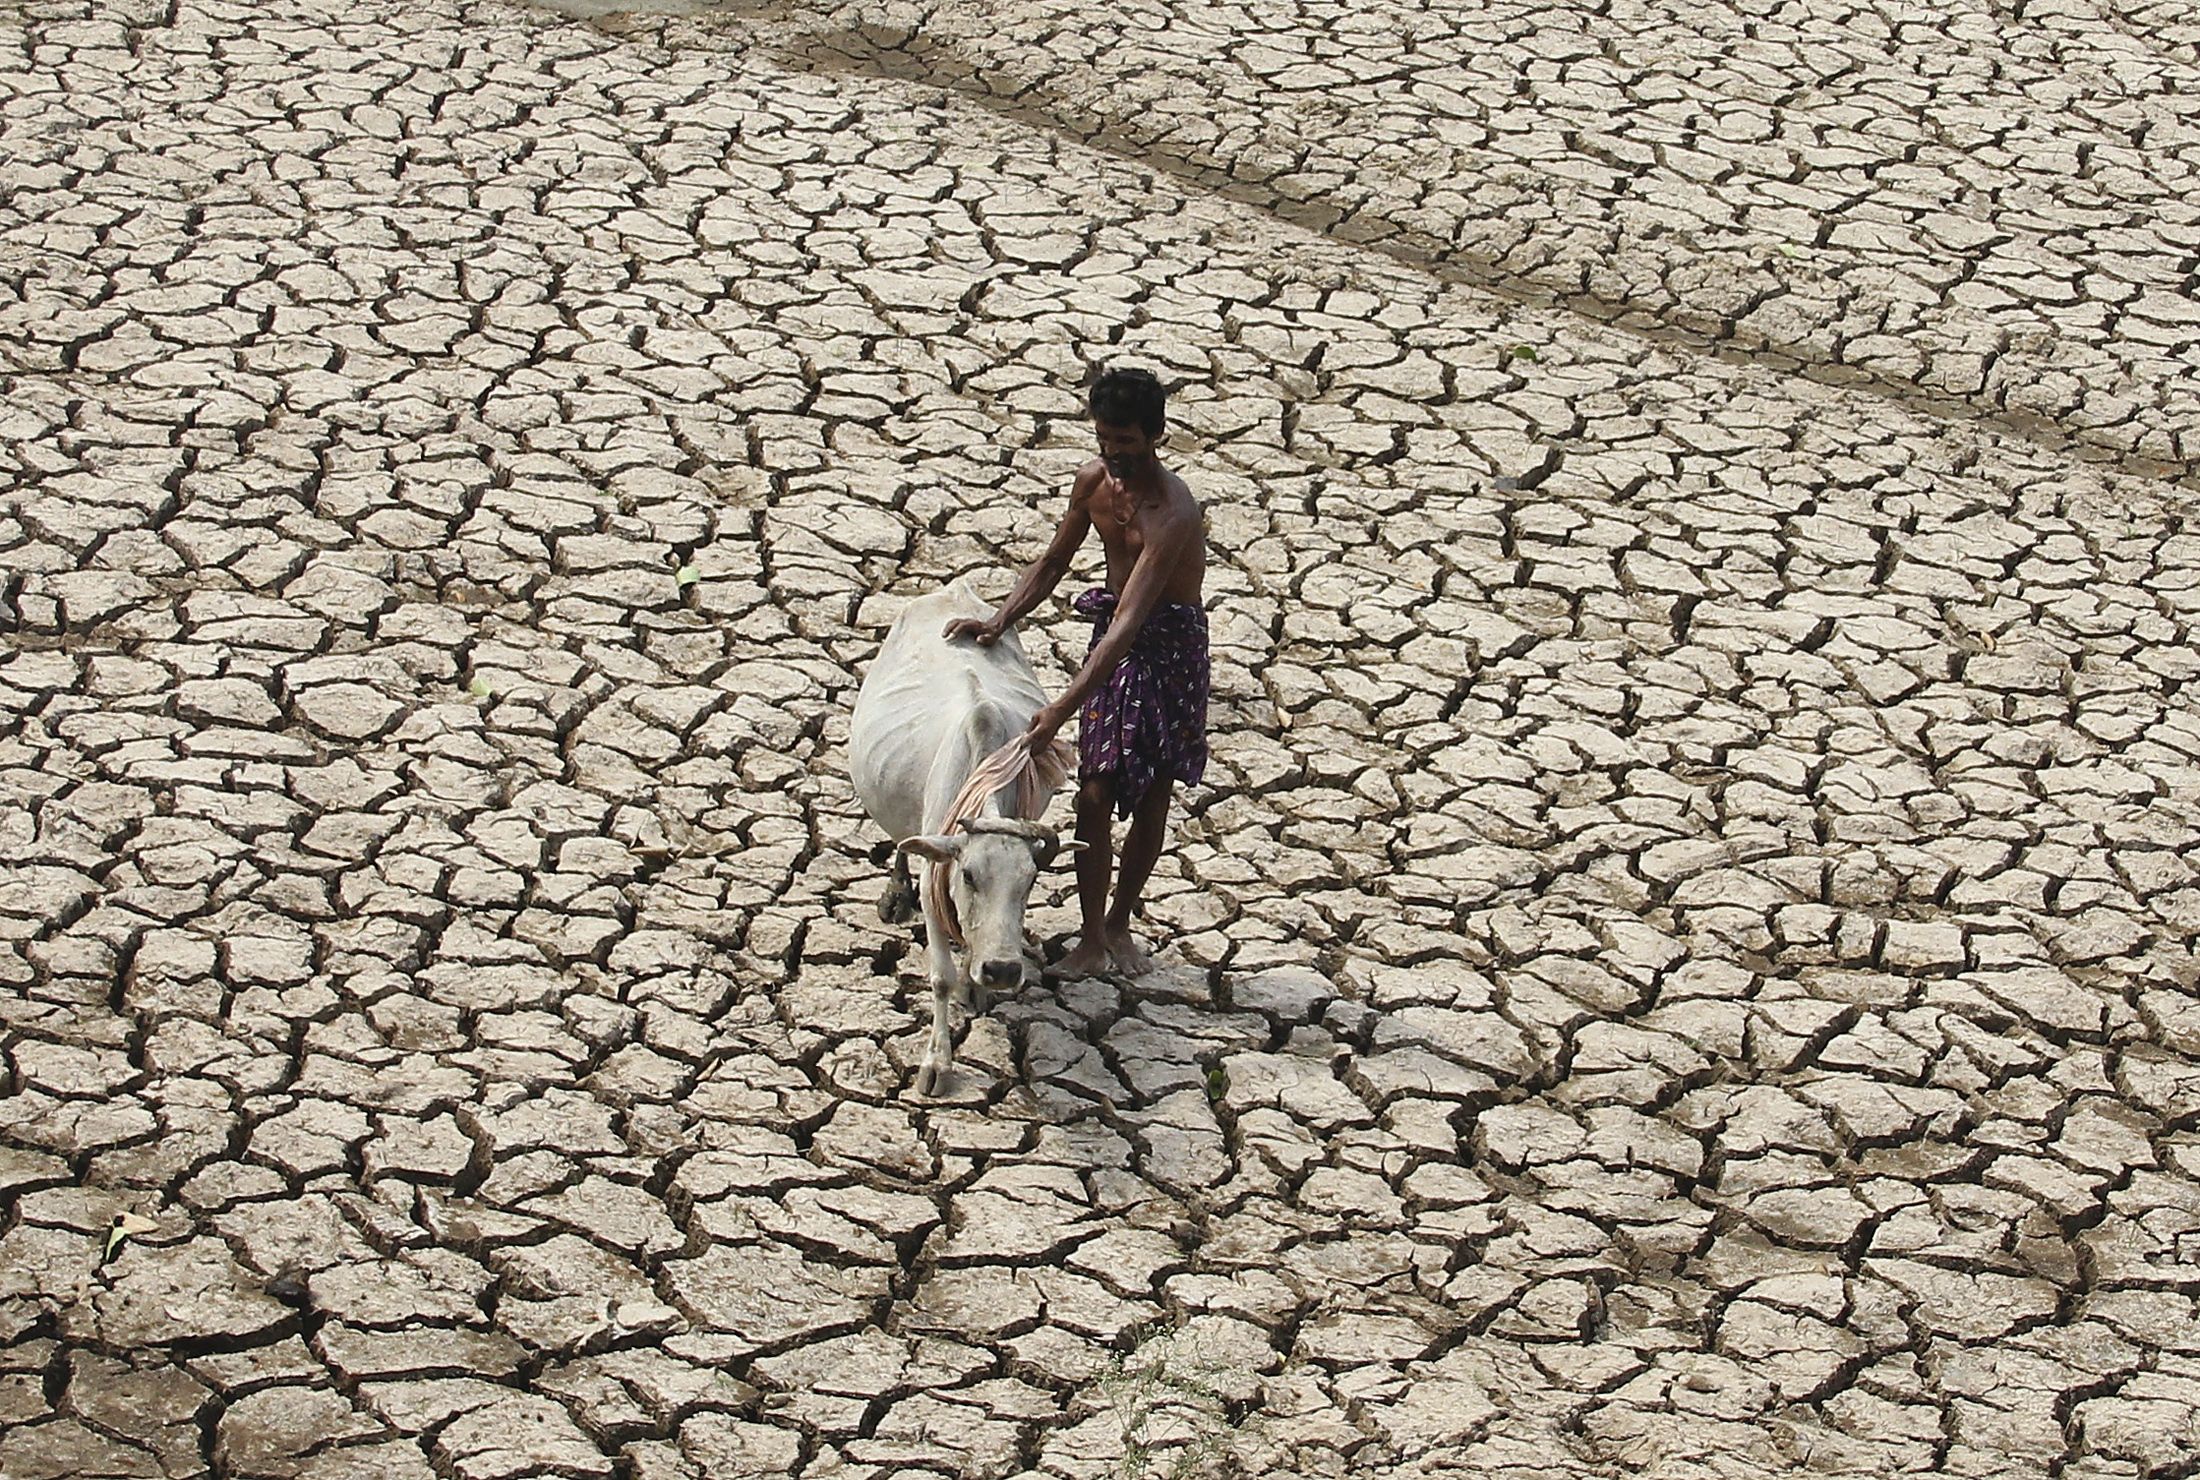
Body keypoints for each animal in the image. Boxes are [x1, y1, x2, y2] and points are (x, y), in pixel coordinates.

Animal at [849, 576, 1073, 1095]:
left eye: (1030, 882)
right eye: (968, 875)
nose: (1003, 969)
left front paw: (978, 984)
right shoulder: (937, 879)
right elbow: (941, 977)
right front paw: (937, 1063)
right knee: (901, 842)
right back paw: (895, 893)